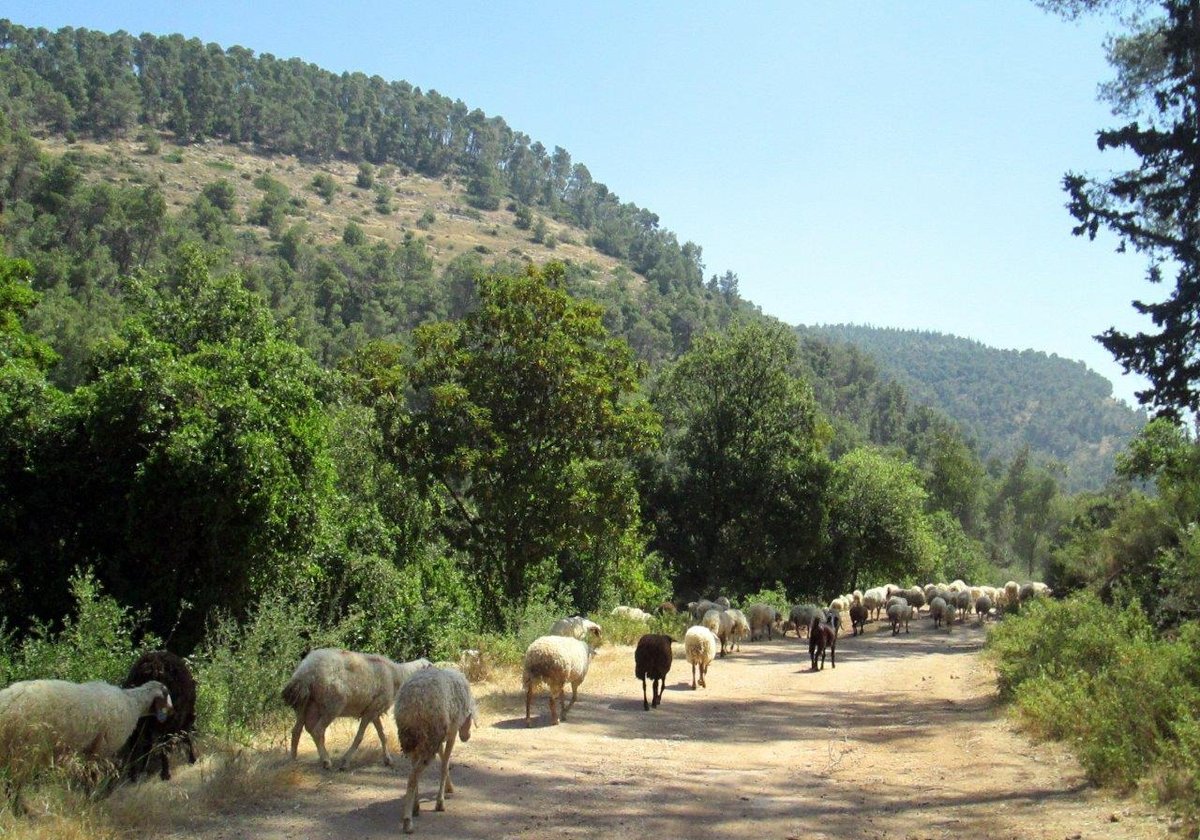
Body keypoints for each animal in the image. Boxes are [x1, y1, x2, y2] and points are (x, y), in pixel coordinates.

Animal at [0, 676, 172, 768]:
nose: (172, 709)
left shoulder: (90, 750)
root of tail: (7, 700)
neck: (132, 703)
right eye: (166, 695)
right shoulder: (102, 749)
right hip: (25, 749)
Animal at [121, 648, 196, 782]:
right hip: (166, 716)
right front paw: (192, 758)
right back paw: (165, 774)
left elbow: (147, 745)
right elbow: (184, 736)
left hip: (138, 714)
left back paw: (133, 775)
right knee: (164, 743)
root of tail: (154, 667)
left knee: (135, 744)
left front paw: (143, 769)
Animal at [280, 648, 432, 772]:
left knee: (296, 731)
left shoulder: (375, 710)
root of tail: (305, 671)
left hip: (304, 705)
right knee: (317, 731)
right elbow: (359, 737)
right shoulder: (371, 711)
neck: (397, 675)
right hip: (333, 704)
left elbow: (382, 735)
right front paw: (345, 762)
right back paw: (326, 761)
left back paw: (293, 761)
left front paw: (388, 760)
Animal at [388, 667, 472, 835]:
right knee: (413, 776)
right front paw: (440, 802)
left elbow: (444, 760)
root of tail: (414, 701)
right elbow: (445, 765)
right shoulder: (451, 733)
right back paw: (408, 821)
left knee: (414, 770)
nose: (467, 736)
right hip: (430, 736)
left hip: (413, 739)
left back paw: (415, 806)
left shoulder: (440, 739)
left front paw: (449, 787)